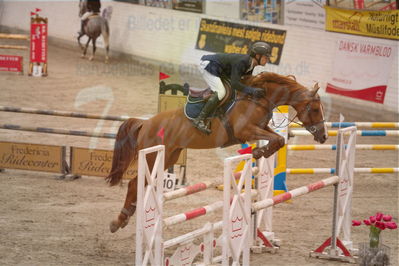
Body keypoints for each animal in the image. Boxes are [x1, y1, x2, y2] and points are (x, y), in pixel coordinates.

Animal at [105, 71, 328, 232]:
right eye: (315, 109)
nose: (323, 136)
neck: (259, 98)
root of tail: (145, 123)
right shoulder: (245, 130)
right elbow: (277, 139)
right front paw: (258, 153)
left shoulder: (260, 128)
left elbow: (279, 139)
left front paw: (260, 152)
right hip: (153, 155)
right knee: (134, 184)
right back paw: (119, 220)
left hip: (169, 156)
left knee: (140, 184)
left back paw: (126, 216)